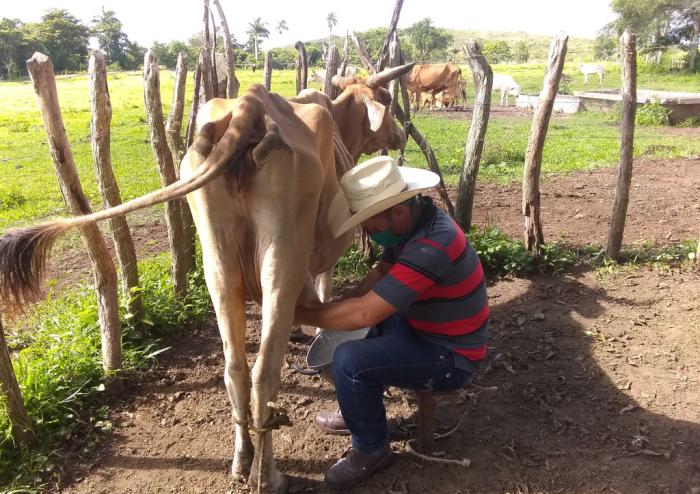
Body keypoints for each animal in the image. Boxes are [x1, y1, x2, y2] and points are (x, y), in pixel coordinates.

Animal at [0, 63, 416, 492]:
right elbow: (323, 288)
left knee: (234, 368)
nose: (401, 133)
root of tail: (249, 105)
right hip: (281, 253)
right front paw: (312, 330)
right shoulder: (321, 250)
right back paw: (266, 475)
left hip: (218, 261)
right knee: (263, 371)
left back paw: (241, 461)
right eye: (386, 99)